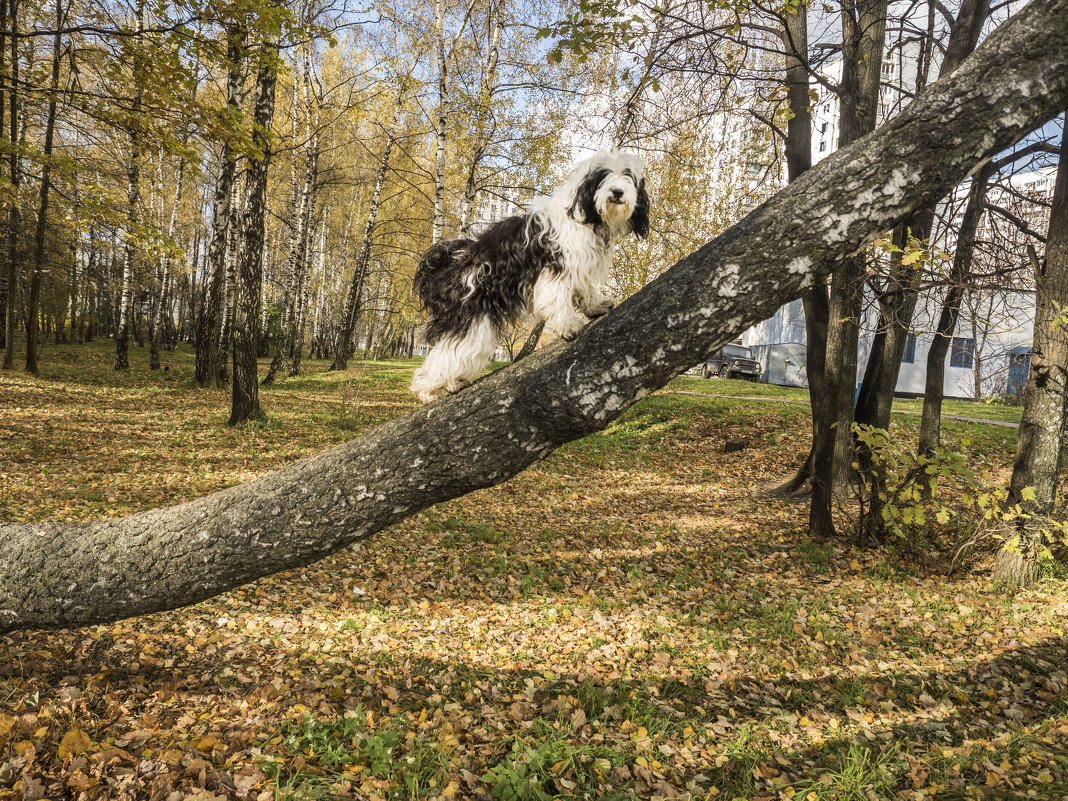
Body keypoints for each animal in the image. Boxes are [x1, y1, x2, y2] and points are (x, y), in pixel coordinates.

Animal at [407, 149, 645, 401]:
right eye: (604, 175)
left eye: (628, 176)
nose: (617, 192)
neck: (585, 216)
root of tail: (443, 269)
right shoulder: (555, 268)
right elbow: (556, 299)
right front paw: (568, 325)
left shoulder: (579, 265)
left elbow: (585, 289)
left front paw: (595, 306)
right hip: (470, 318)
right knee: (446, 354)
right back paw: (432, 390)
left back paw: (451, 383)